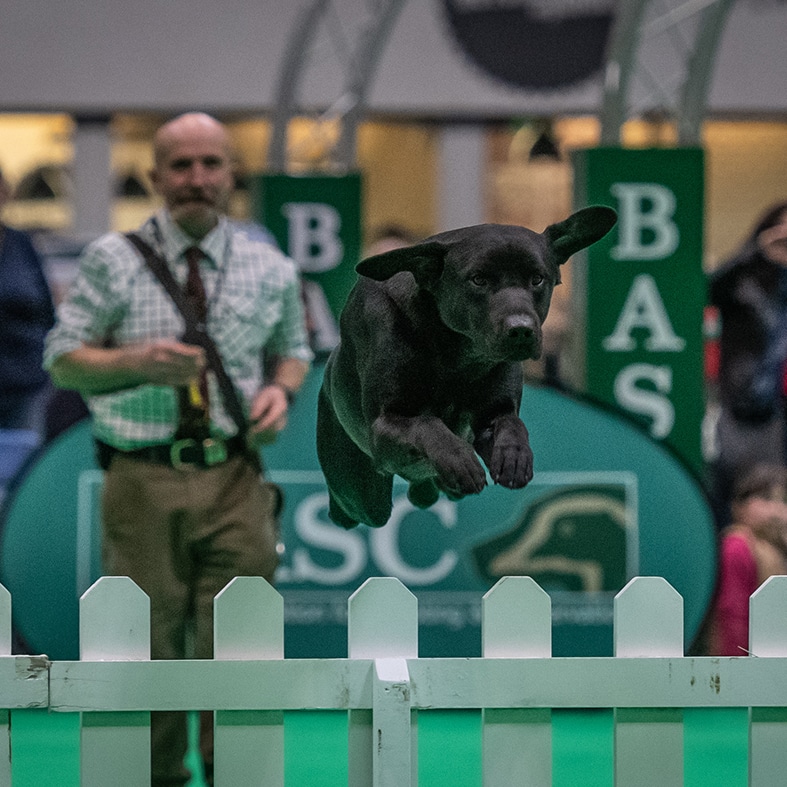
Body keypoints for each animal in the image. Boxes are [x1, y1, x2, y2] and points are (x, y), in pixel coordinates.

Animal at [318, 206, 620, 528]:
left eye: (537, 279)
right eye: (478, 279)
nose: (521, 330)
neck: (457, 354)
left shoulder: (494, 412)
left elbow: (512, 424)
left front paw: (514, 456)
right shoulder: (386, 423)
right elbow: (428, 424)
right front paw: (460, 461)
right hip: (360, 495)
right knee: (353, 511)